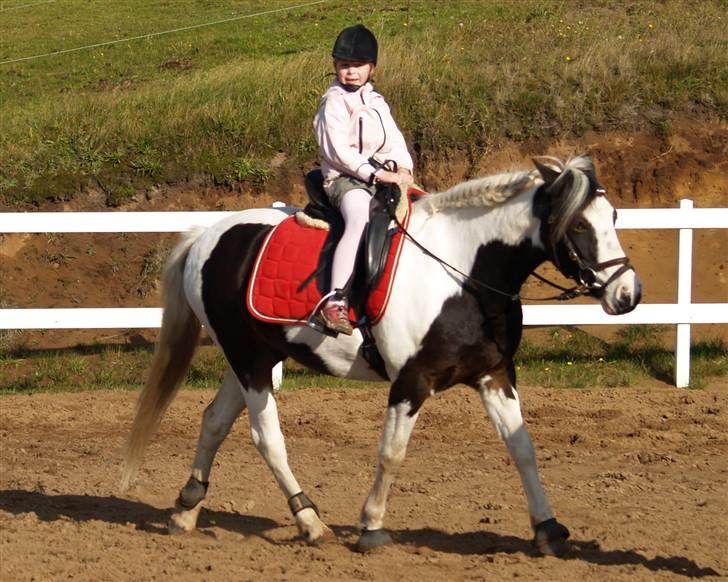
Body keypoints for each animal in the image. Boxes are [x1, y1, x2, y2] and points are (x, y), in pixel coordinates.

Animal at [121, 155, 641, 556]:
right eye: (578, 224)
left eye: (614, 217)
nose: (628, 294)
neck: (462, 274)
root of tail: (207, 235)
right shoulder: (412, 381)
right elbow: (391, 453)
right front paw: (371, 527)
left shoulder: (494, 374)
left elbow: (523, 449)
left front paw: (548, 528)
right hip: (249, 362)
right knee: (266, 438)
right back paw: (310, 521)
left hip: (253, 357)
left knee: (214, 421)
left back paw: (186, 509)